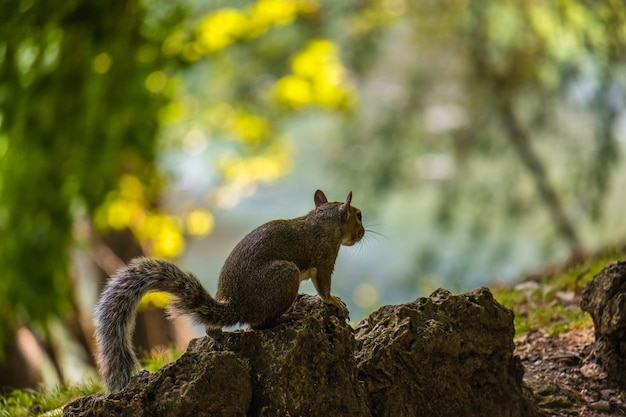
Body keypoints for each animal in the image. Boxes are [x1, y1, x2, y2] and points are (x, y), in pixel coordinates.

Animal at [94, 190, 364, 392]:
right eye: (359, 215)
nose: (362, 233)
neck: (324, 220)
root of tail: (237, 305)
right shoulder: (324, 258)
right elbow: (324, 287)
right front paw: (333, 302)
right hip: (286, 275)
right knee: (258, 324)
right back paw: (287, 315)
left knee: (215, 329)